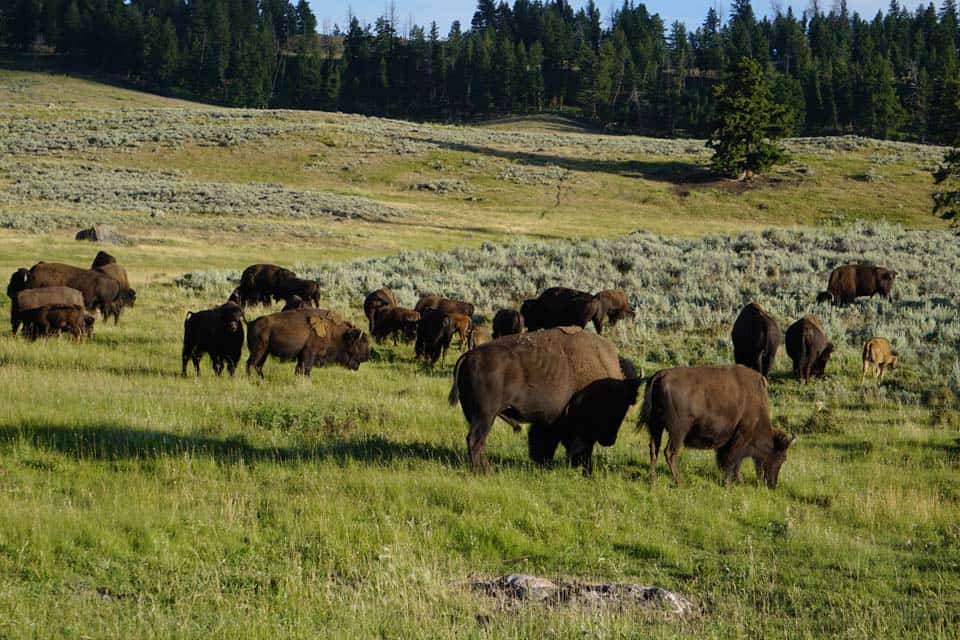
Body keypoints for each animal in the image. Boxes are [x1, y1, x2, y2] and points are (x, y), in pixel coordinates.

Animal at [448, 330, 632, 470]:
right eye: (614, 407)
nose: (610, 439)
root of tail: (469, 355)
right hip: (485, 415)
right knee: (475, 439)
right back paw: (484, 471)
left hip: (477, 416)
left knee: (479, 441)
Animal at [636, 364, 796, 490]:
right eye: (782, 458)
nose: (772, 485)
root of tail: (661, 375)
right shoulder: (740, 437)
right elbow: (732, 460)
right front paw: (729, 484)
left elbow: (733, 462)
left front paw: (739, 481)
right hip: (678, 432)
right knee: (670, 453)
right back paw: (680, 483)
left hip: (656, 427)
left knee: (654, 449)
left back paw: (653, 481)